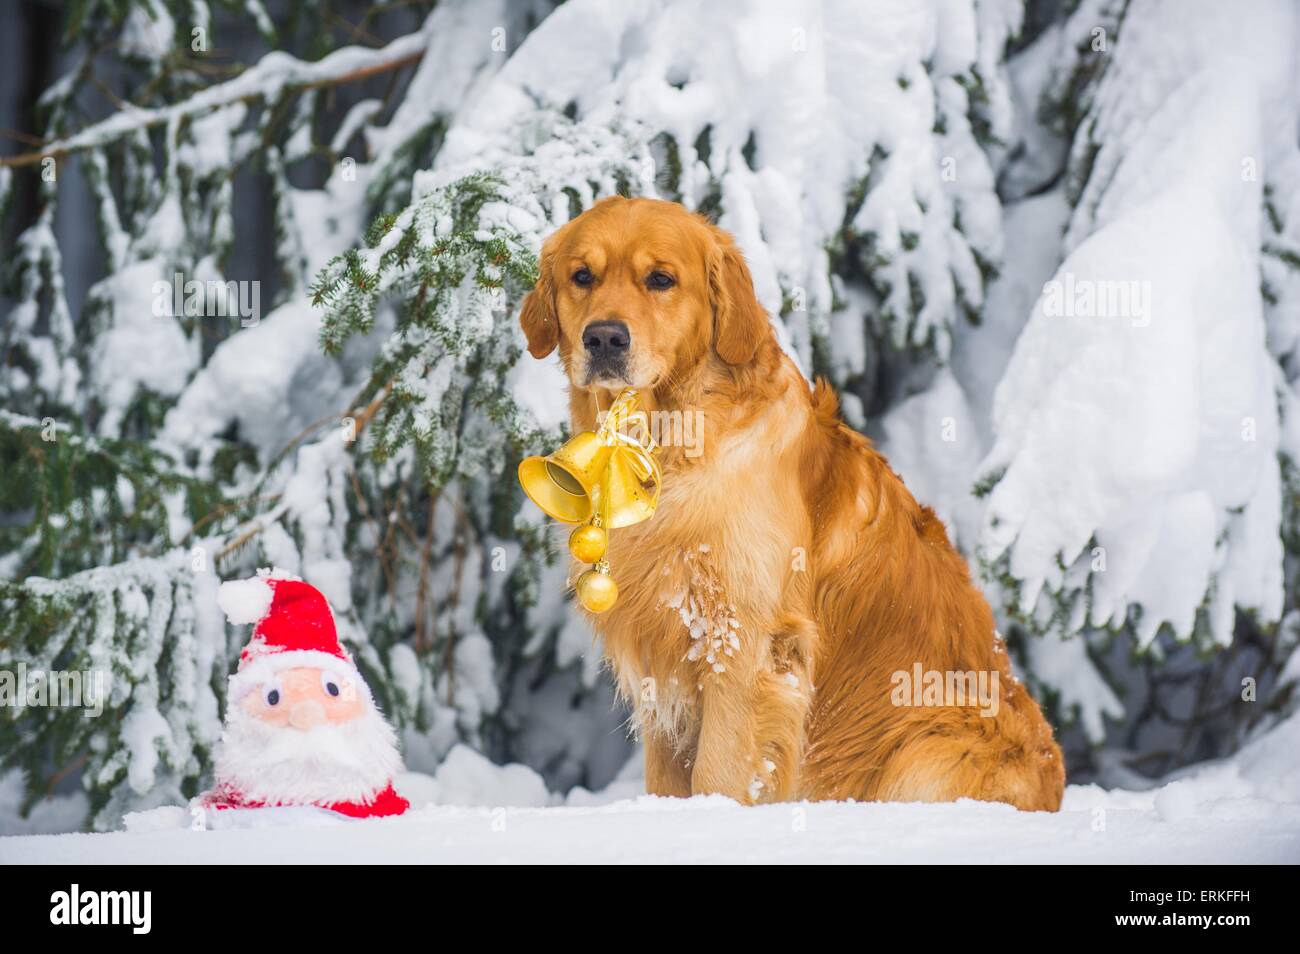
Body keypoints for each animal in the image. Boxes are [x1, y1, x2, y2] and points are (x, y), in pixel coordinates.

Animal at [520, 197, 1066, 811]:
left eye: (660, 279)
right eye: (581, 277)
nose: (605, 339)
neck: (676, 439)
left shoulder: (747, 641)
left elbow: (720, 772)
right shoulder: (660, 649)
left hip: (922, 754)